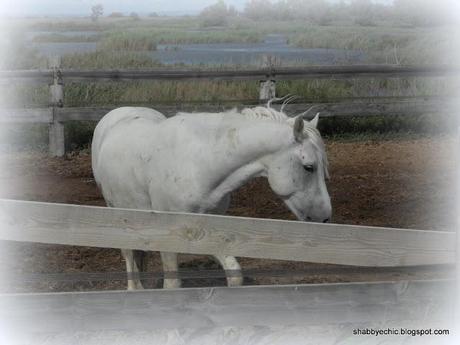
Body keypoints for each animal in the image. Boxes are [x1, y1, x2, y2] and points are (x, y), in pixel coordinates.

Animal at [92, 101, 330, 288]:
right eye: (309, 167)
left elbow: (234, 275)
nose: (325, 218)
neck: (200, 164)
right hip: (117, 212)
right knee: (129, 256)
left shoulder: (210, 230)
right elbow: (172, 284)